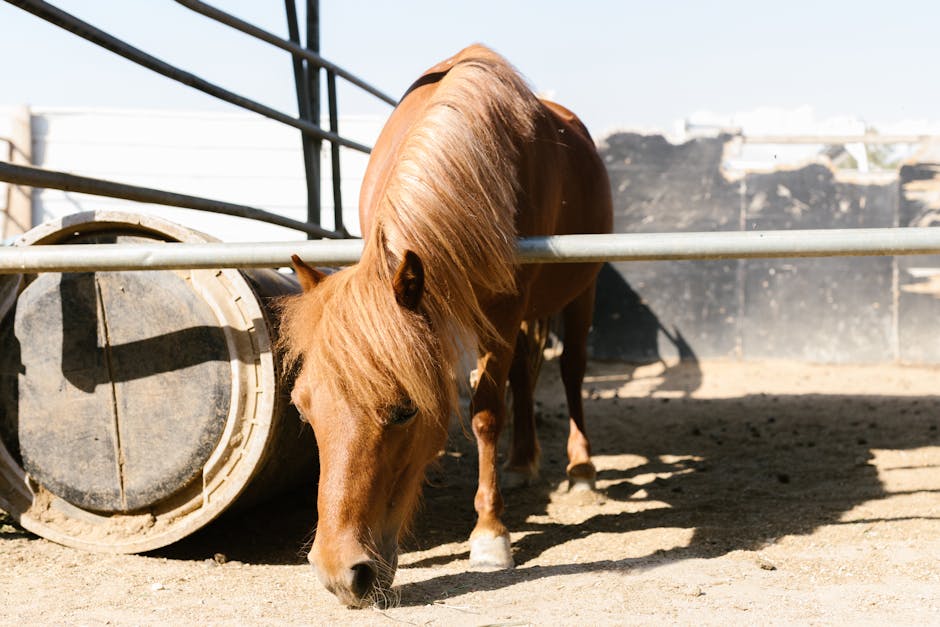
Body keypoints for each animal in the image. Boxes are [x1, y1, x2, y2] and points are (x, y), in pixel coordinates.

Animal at [280, 45, 612, 608]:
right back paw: (521, 463)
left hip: (581, 290)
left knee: (569, 370)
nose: (340, 576)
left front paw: (490, 535)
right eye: (304, 410)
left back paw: (581, 470)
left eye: (404, 412)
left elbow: (484, 413)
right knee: (525, 373)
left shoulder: (503, 310)